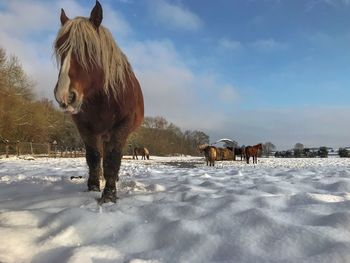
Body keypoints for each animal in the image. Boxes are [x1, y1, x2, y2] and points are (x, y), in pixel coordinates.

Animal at [53, 1, 144, 204]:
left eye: (89, 49)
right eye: (60, 48)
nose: (64, 96)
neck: (103, 99)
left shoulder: (121, 127)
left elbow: (113, 158)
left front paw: (109, 194)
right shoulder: (86, 129)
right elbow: (94, 158)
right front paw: (93, 187)